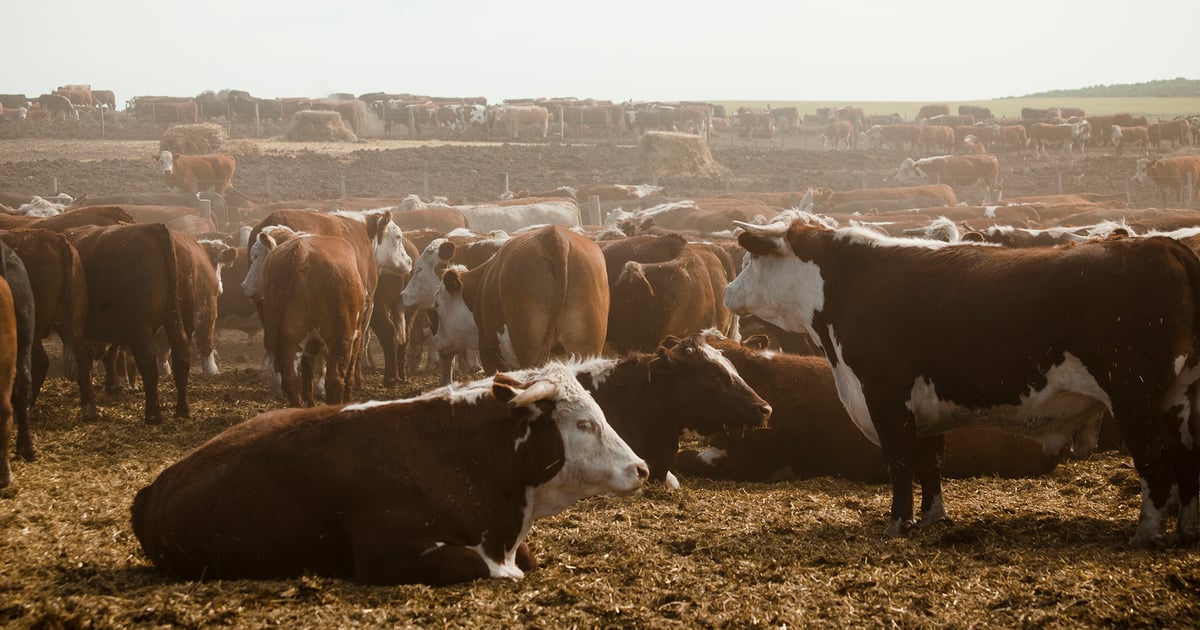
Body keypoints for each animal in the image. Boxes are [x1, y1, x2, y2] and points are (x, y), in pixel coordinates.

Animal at [724, 212, 1200, 546]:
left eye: (750, 258)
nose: (728, 292)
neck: (848, 283)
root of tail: (1163, 247)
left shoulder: (885, 395)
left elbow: (900, 463)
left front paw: (897, 524)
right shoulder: (926, 405)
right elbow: (930, 463)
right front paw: (932, 517)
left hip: (1133, 396)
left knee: (1156, 459)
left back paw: (1145, 533)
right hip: (1178, 398)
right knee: (1185, 456)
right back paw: (1185, 531)